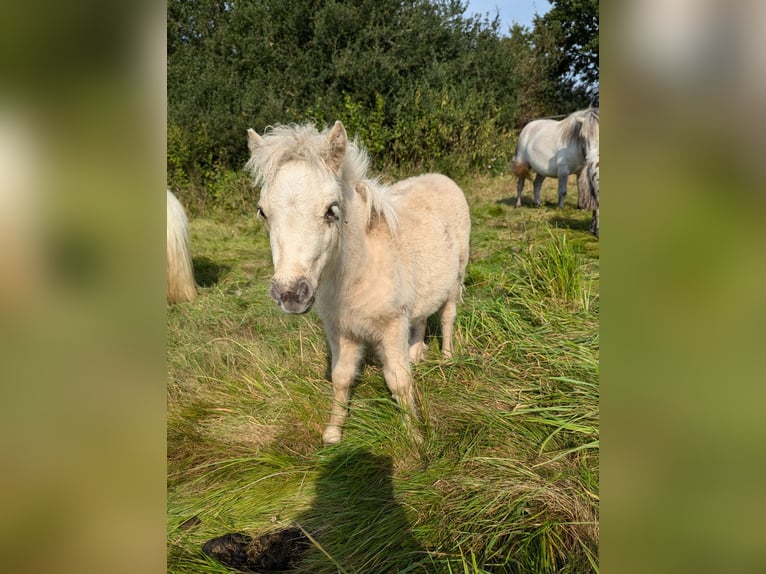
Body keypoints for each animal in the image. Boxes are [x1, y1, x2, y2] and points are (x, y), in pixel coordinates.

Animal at [249, 121, 472, 446]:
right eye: (263, 211)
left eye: (331, 210)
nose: (290, 293)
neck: (356, 272)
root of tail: (442, 178)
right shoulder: (341, 331)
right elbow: (341, 377)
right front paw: (333, 433)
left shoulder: (392, 327)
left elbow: (399, 380)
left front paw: (414, 436)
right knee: (420, 318)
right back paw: (417, 353)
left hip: (456, 280)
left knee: (447, 317)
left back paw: (446, 359)